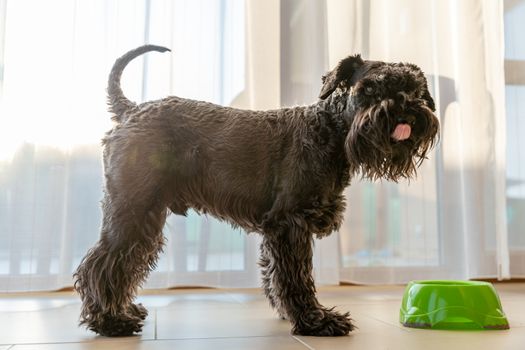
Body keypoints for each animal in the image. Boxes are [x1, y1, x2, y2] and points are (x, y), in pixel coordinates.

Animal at [73, 43, 440, 336]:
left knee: (124, 263)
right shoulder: (290, 224)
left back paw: (124, 312)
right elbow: (297, 277)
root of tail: (131, 110)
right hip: (132, 209)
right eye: (371, 88)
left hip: (144, 215)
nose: (406, 111)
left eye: (417, 90)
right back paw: (110, 322)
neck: (328, 131)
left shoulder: (279, 229)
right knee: (101, 263)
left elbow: (277, 275)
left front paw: (293, 313)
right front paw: (317, 321)